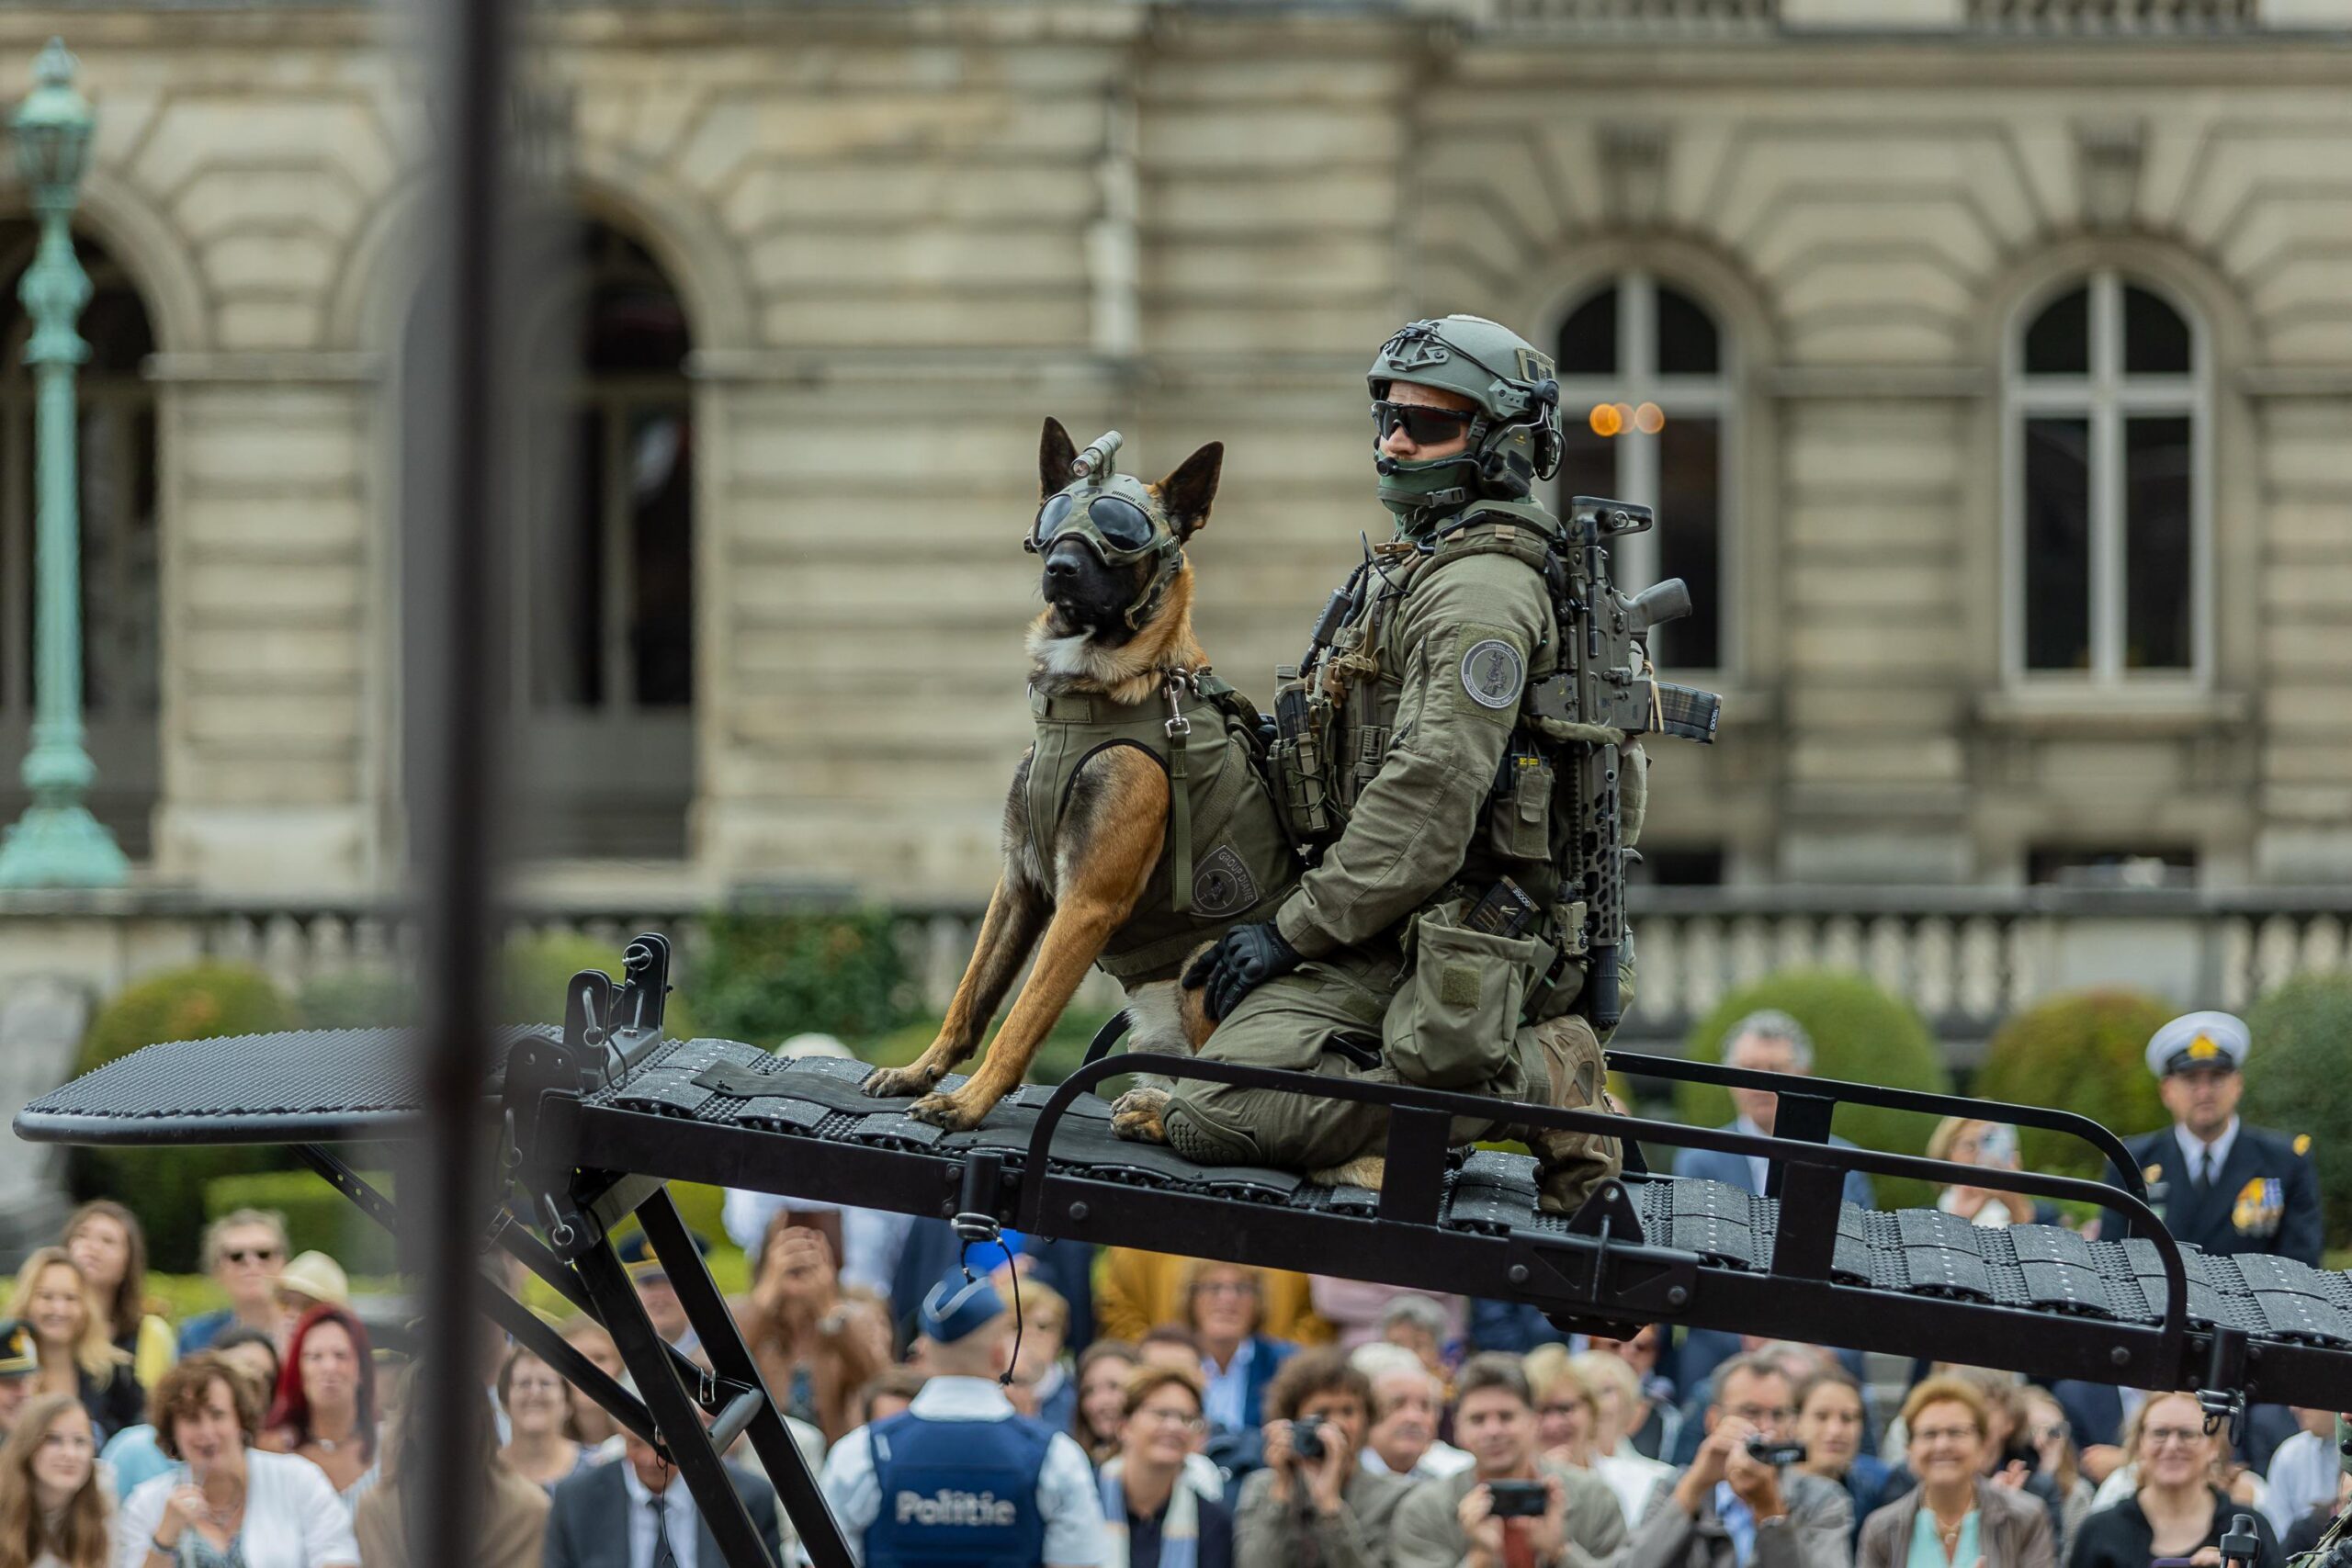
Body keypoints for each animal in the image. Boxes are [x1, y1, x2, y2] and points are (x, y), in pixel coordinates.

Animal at [861, 418, 1294, 1135]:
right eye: (1056, 515)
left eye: (1119, 528)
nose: (1059, 567)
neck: (1100, 694)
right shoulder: (1020, 884)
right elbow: (970, 997)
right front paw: (922, 1070)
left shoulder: (1085, 903)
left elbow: (1023, 1017)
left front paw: (969, 1100)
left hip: (1207, 965)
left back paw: (1160, 1113)